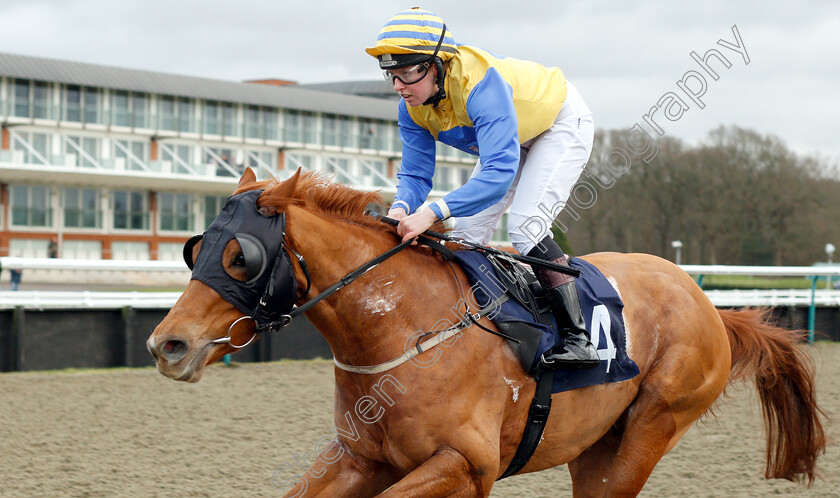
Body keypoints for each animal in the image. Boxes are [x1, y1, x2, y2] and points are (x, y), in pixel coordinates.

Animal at [148, 169, 824, 496]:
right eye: (195, 248)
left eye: (241, 258)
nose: (166, 345)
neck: (406, 332)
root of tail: (710, 305)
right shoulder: (363, 459)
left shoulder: (466, 466)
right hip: (596, 449)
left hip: (651, 429)